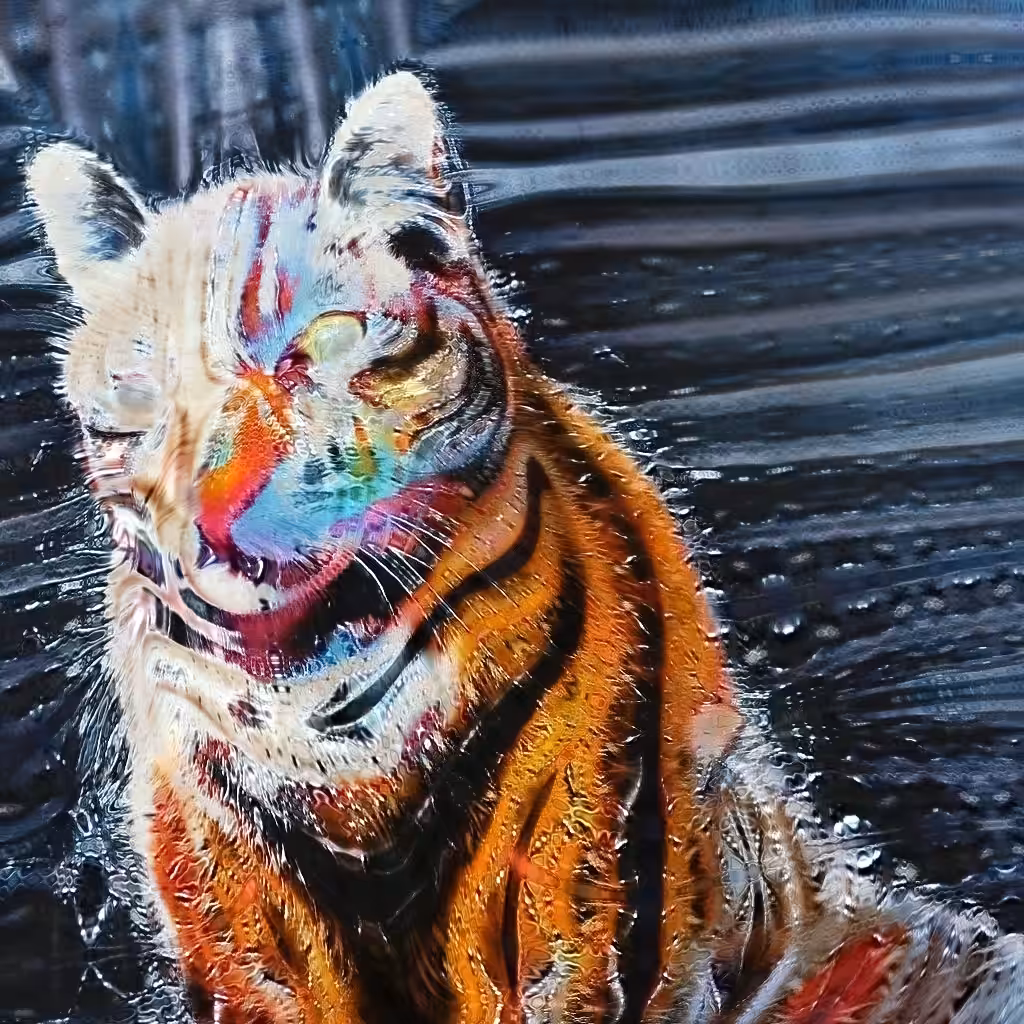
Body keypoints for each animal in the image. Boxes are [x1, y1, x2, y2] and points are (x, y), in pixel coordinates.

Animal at [27, 70, 1023, 1024]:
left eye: (325, 339)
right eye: (139, 388)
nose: (209, 516)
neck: (313, 680)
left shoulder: (563, 847)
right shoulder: (225, 879)